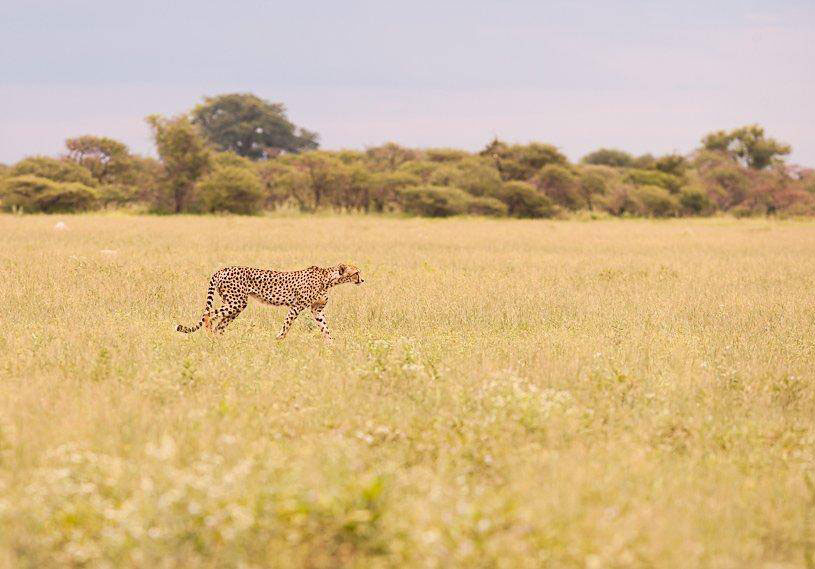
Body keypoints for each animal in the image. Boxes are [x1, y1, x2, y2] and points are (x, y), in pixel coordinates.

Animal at [177, 264, 364, 340]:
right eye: (356, 273)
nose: (363, 280)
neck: (328, 279)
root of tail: (222, 269)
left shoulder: (316, 310)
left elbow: (325, 328)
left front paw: (332, 345)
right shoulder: (296, 307)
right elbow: (287, 326)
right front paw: (278, 340)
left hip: (235, 304)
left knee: (219, 324)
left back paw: (219, 341)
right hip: (237, 302)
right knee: (208, 314)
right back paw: (209, 336)